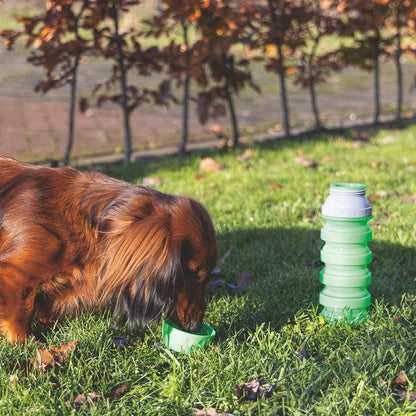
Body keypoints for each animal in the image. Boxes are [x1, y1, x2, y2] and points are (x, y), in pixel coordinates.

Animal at [0, 156, 219, 342]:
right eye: (190, 272)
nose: (195, 326)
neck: (89, 224)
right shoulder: (14, 276)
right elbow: (20, 317)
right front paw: (25, 345)